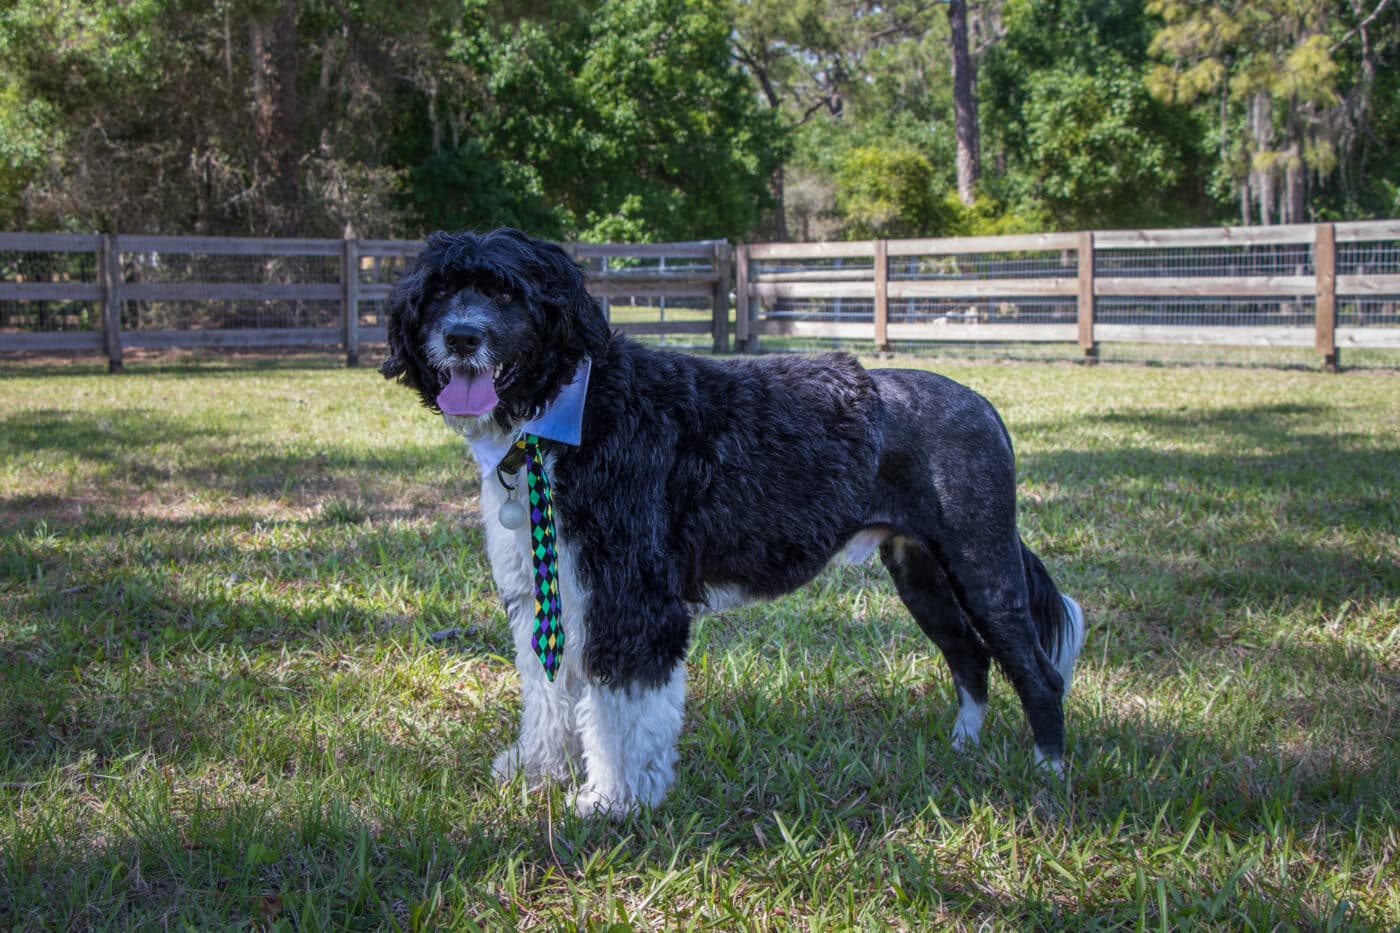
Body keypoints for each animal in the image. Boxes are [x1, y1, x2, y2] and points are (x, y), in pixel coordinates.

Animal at [383, 225, 1092, 812]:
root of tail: (984, 406)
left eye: (507, 292)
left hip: (983, 567)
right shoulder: (546, 593)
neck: (567, 409)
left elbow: (621, 715)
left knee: (1038, 673)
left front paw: (614, 800)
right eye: (440, 292)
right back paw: (964, 748)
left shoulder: (632, 600)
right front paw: (536, 771)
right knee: (970, 661)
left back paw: (1048, 774)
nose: (461, 336)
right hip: (923, 576)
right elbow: (548, 694)